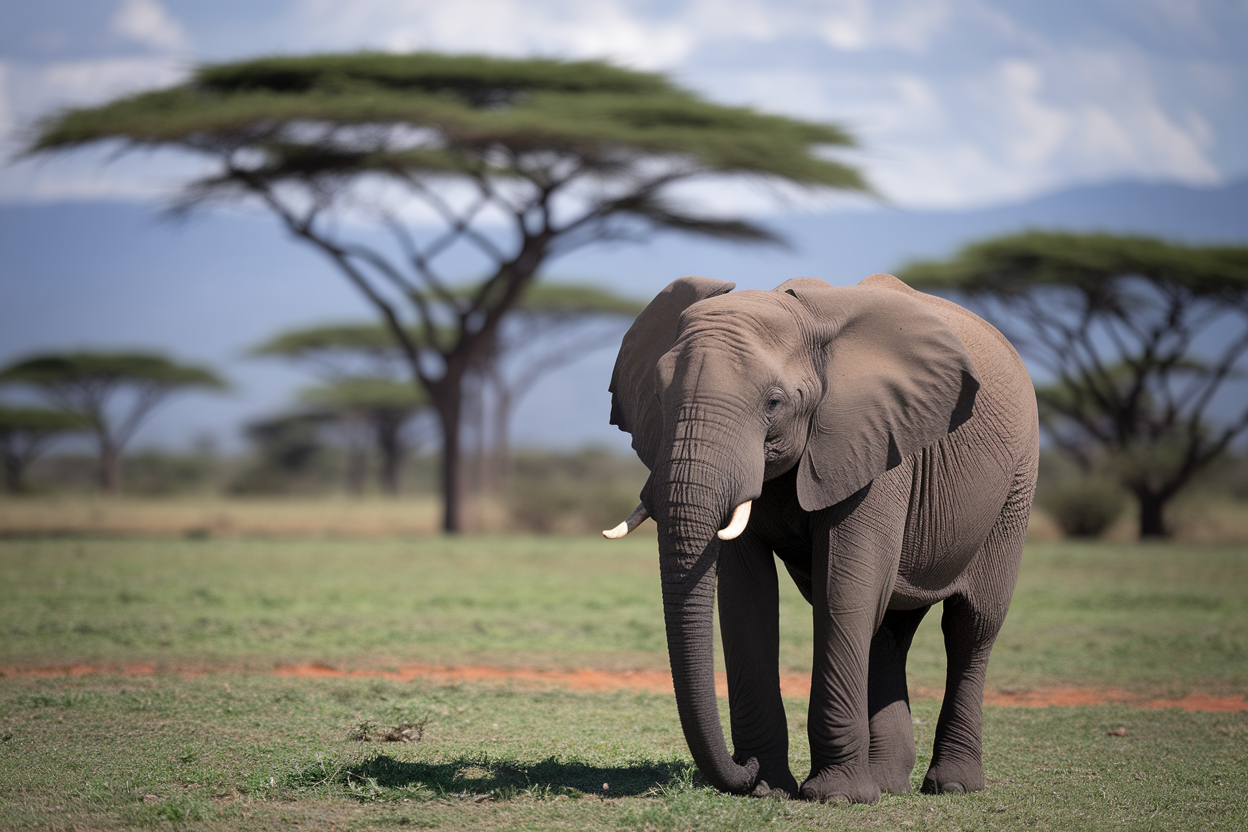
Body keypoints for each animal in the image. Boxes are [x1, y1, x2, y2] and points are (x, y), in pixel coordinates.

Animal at [603, 272, 1038, 803]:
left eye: (773, 403)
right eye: (659, 397)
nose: (742, 766)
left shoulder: (873, 443)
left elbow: (844, 592)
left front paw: (836, 796)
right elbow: (747, 600)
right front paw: (768, 787)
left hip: (1017, 484)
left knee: (971, 625)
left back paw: (951, 785)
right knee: (887, 629)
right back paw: (888, 784)